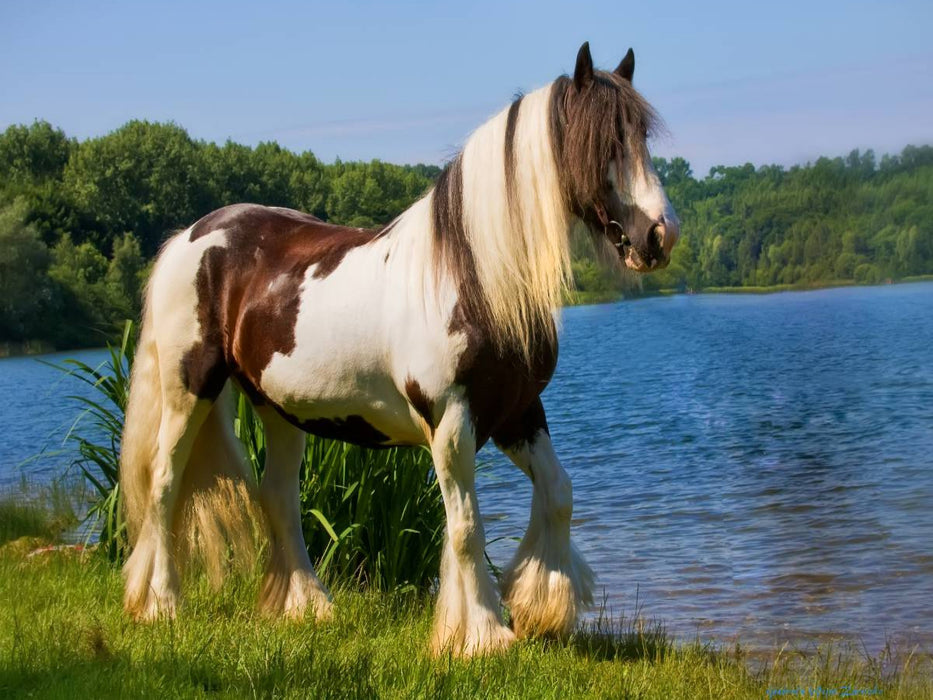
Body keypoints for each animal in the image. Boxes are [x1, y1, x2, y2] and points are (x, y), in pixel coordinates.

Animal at [119, 41, 679, 657]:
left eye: (642, 137)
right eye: (602, 142)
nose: (660, 236)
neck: (474, 277)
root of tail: (189, 236)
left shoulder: (517, 412)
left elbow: (558, 494)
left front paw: (540, 609)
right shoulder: (452, 422)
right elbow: (466, 527)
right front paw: (483, 634)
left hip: (279, 410)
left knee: (278, 497)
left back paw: (308, 608)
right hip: (189, 388)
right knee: (164, 484)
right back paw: (162, 604)